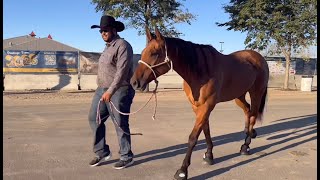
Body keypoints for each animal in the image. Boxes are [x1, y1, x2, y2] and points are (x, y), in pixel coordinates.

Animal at [129, 27, 268, 180]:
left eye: (154, 53)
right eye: (142, 52)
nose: (134, 82)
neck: (200, 71)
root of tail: (258, 57)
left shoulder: (206, 106)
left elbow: (193, 137)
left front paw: (182, 170)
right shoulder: (197, 107)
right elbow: (206, 130)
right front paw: (209, 155)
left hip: (256, 93)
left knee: (253, 114)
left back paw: (246, 146)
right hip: (239, 95)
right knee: (248, 110)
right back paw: (249, 133)